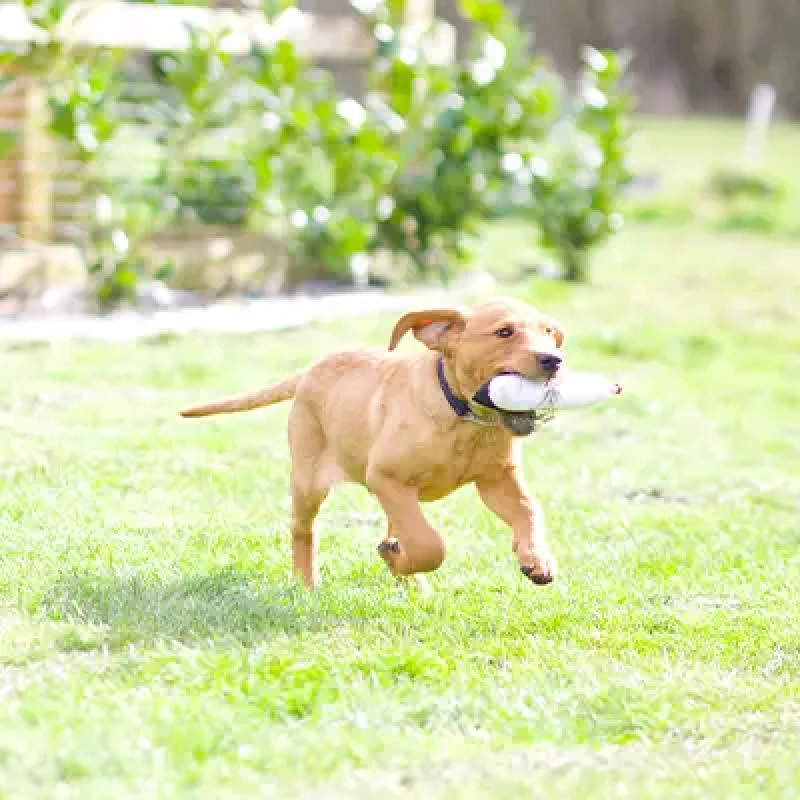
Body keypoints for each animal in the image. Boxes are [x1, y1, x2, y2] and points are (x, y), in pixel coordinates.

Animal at [180, 296, 564, 592]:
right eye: (504, 332)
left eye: (549, 334)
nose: (554, 360)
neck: (464, 418)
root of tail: (308, 372)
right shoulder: (384, 476)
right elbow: (429, 545)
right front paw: (402, 559)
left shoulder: (497, 480)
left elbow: (529, 510)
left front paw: (537, 558)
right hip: (309, 482)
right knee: (303, 530)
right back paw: (308, 582)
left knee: (395, 526)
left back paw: (407, 576)